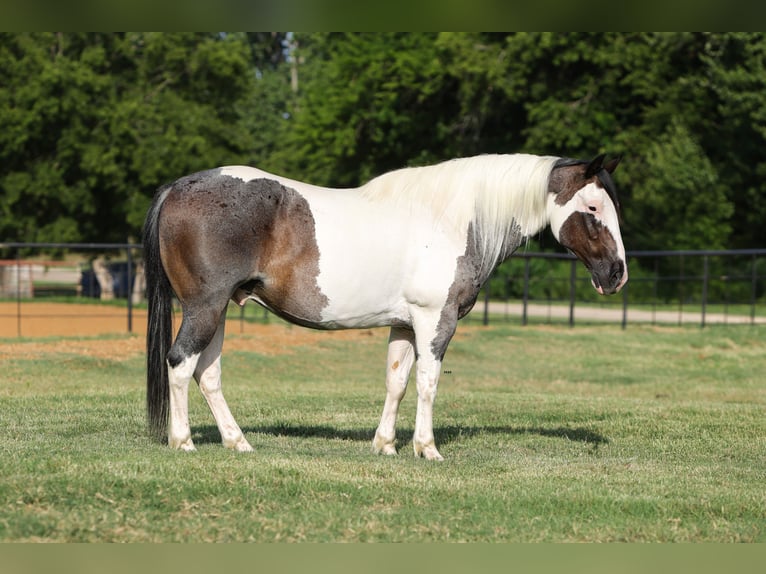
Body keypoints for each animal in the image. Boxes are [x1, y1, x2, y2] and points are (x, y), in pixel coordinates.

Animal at [143, 153, 626, 461]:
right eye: (592, 207)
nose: (617, 274)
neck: (449, 219)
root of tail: (178, 187)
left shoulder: (405, 325)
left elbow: (397, 382)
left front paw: (386, 445)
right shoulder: (435, 321)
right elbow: (428, 382)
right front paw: (426, 448)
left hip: (219, 310)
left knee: (208, 375)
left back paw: (237, 442)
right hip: (205, 308)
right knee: (181, 364)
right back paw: (183, 442)